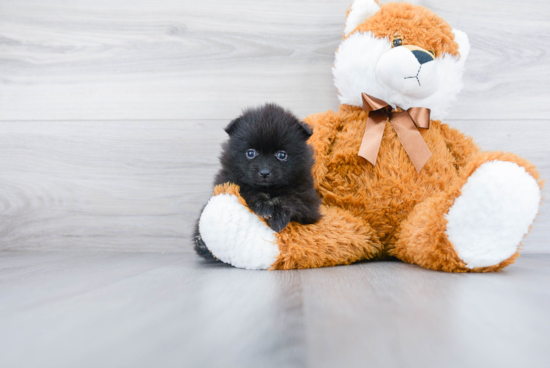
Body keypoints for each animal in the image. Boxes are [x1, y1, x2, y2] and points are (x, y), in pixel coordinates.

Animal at [195, 103, 322, 258]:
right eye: (250, 153)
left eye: (282, 155)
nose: (264, 172)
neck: (269, 189)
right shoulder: (228, 182)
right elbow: (248, 190)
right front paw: (263, 205)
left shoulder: (309, 203)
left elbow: (289, 199)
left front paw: (278, 216)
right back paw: (201, 244)